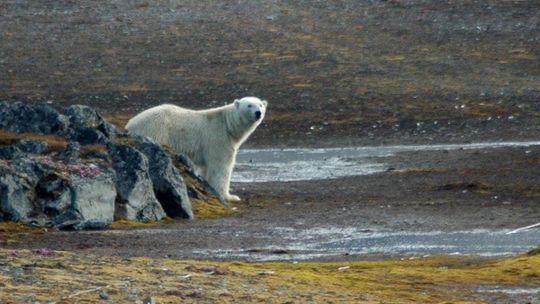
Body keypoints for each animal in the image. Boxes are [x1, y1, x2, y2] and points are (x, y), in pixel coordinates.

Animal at [123, 97, 266, 202]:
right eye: (249, 105)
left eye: (260, 105)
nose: (258, 113)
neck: (228, 125)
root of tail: (130, 124)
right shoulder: (218, 138)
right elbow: (221, 166)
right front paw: (230, 196)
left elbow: (207, 168)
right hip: (156, 129)